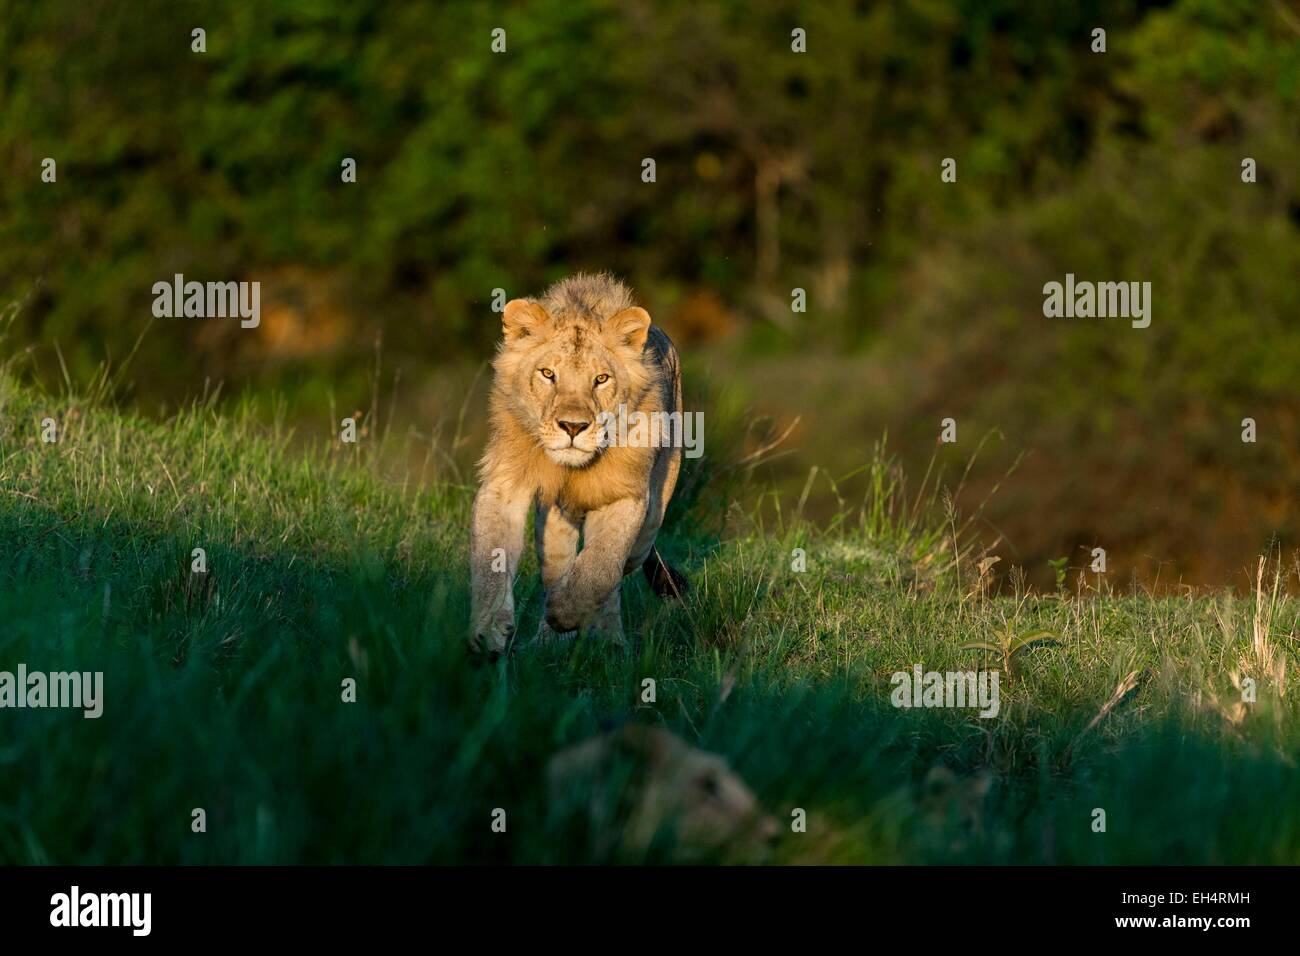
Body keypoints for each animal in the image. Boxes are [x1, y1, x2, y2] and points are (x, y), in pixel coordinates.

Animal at [470, 270, 691, 658]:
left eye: (601, 379)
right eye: (548, 374)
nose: (573, 427)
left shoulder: (627, 494)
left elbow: (600, 563)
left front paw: (568, 612)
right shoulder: (505, 484)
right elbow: (491, 560)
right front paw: (488, 630)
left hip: (655, 510)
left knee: (623, 566)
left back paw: (609, 643)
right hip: (555, 522)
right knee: (559, 567)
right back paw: (548, 641)